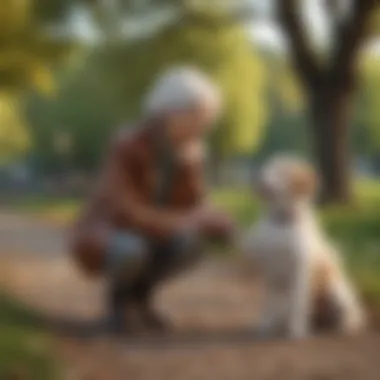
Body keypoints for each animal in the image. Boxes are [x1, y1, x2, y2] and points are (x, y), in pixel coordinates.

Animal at [242, 156, 366, 340]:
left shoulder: (299, 270)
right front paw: (266, 325)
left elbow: (298, 303)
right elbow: (269, 303)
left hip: (337, 291)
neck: (282, 223)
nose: (256, 179)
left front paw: (296, 331)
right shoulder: (270, 273)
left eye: (282, 171)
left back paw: (346, 327)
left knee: (351, 315)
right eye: (268, 167)